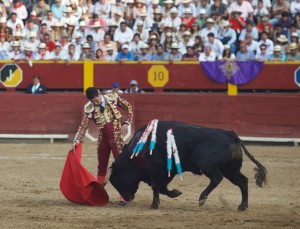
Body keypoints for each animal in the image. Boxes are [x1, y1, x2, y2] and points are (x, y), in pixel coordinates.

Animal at [109, 121, 268, 210]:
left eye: (116, 180)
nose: (127, 198)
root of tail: (231, 135)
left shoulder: (156, 170)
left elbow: (156, 187)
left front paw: (154, 205)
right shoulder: (168, 171)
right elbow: (162, 188)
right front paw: (175, 193)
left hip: (207, 165)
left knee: (217, 178)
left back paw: (202, 198)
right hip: (230, 169)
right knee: (243, 181)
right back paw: (242, 206)